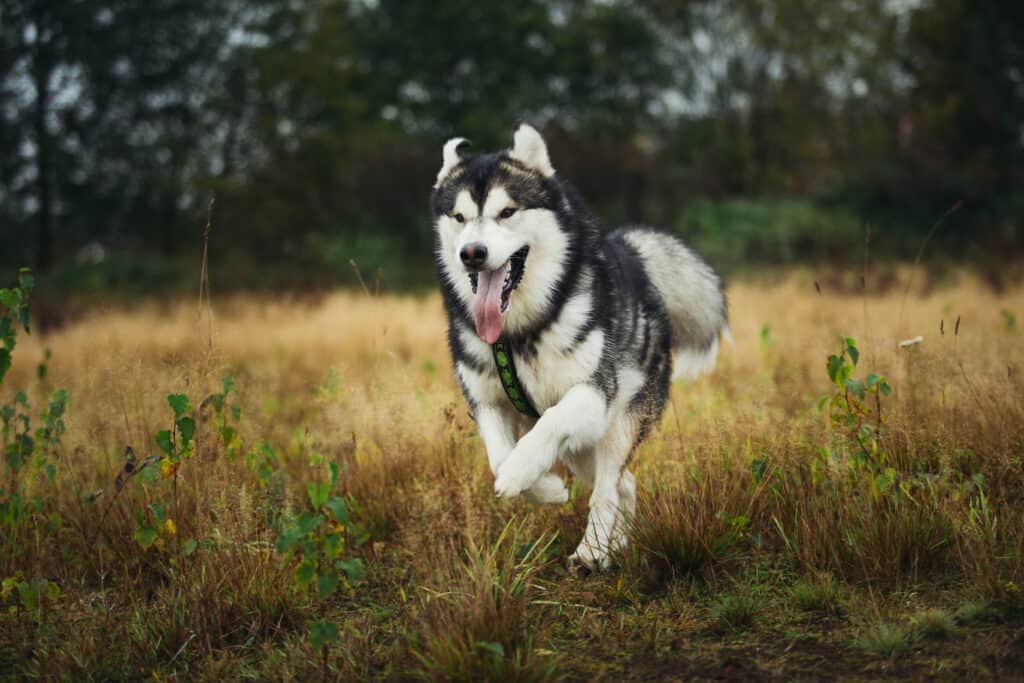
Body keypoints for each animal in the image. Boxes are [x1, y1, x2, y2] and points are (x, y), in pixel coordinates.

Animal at [432, 124, 729, 573]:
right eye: (460, 217)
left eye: (507, 212)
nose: (472, 254)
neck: (522, 332)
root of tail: (635, 258)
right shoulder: (486, 402)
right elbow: (498, 455)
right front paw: (543, 487)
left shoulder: (593, 393)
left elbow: (549, 424)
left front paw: (522, 472)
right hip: (581, 447)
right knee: (625, 482)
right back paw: (614, 544)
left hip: (618, 422)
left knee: (607, 486)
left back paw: (592, 550)